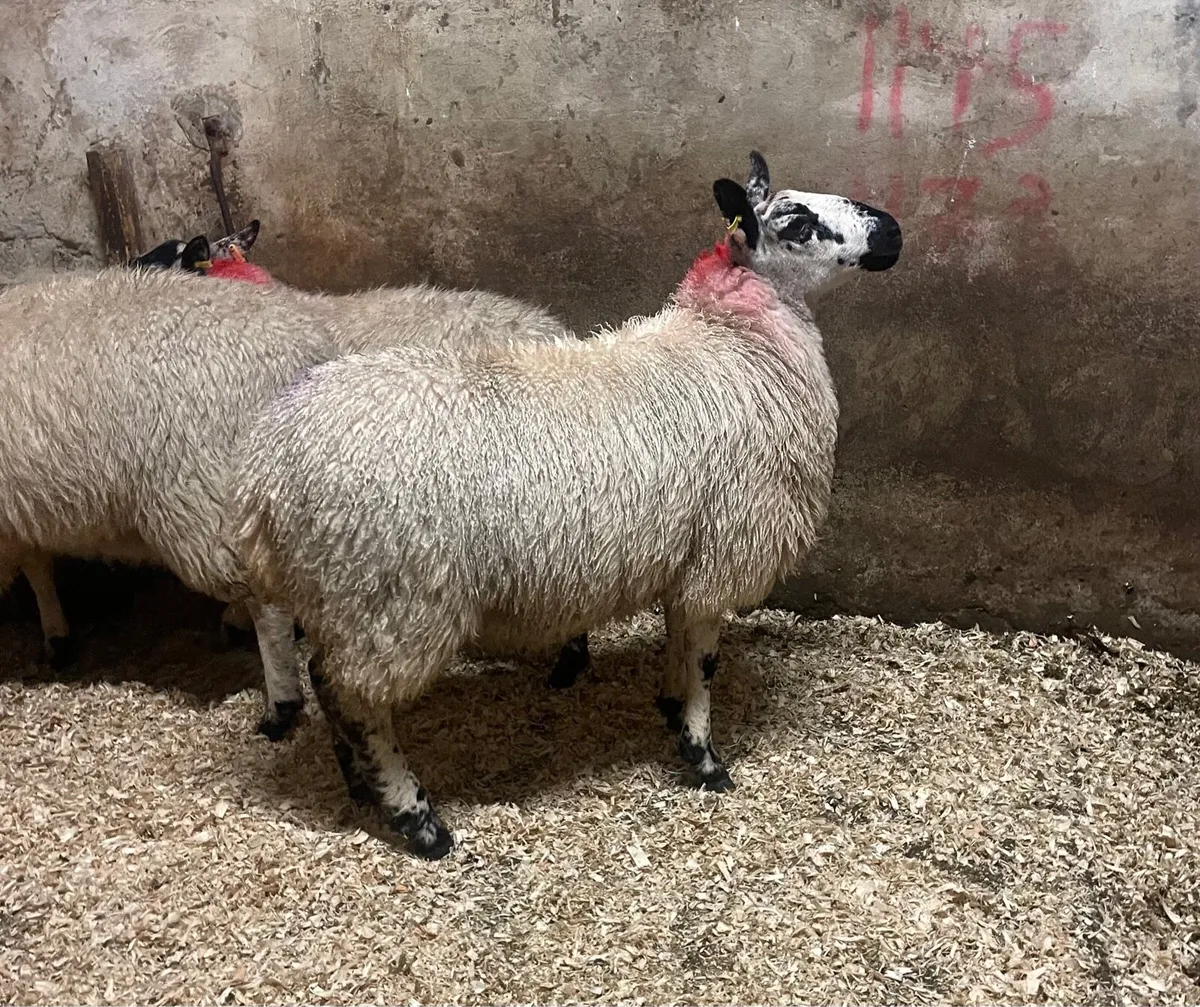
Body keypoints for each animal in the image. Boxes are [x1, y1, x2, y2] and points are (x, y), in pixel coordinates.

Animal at [223, 164, 903, 859]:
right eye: (798, 224)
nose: (892, 232)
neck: (732, 342)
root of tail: (263, 476)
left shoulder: (685, 550)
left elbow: (680, 636)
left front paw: (669, 705)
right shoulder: (724, 548)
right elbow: (705, 658)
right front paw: (704, 756)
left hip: (336, 595)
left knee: (327, 683)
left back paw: (358, 784)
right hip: (389, 598)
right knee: (355, 698)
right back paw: (417, 818)